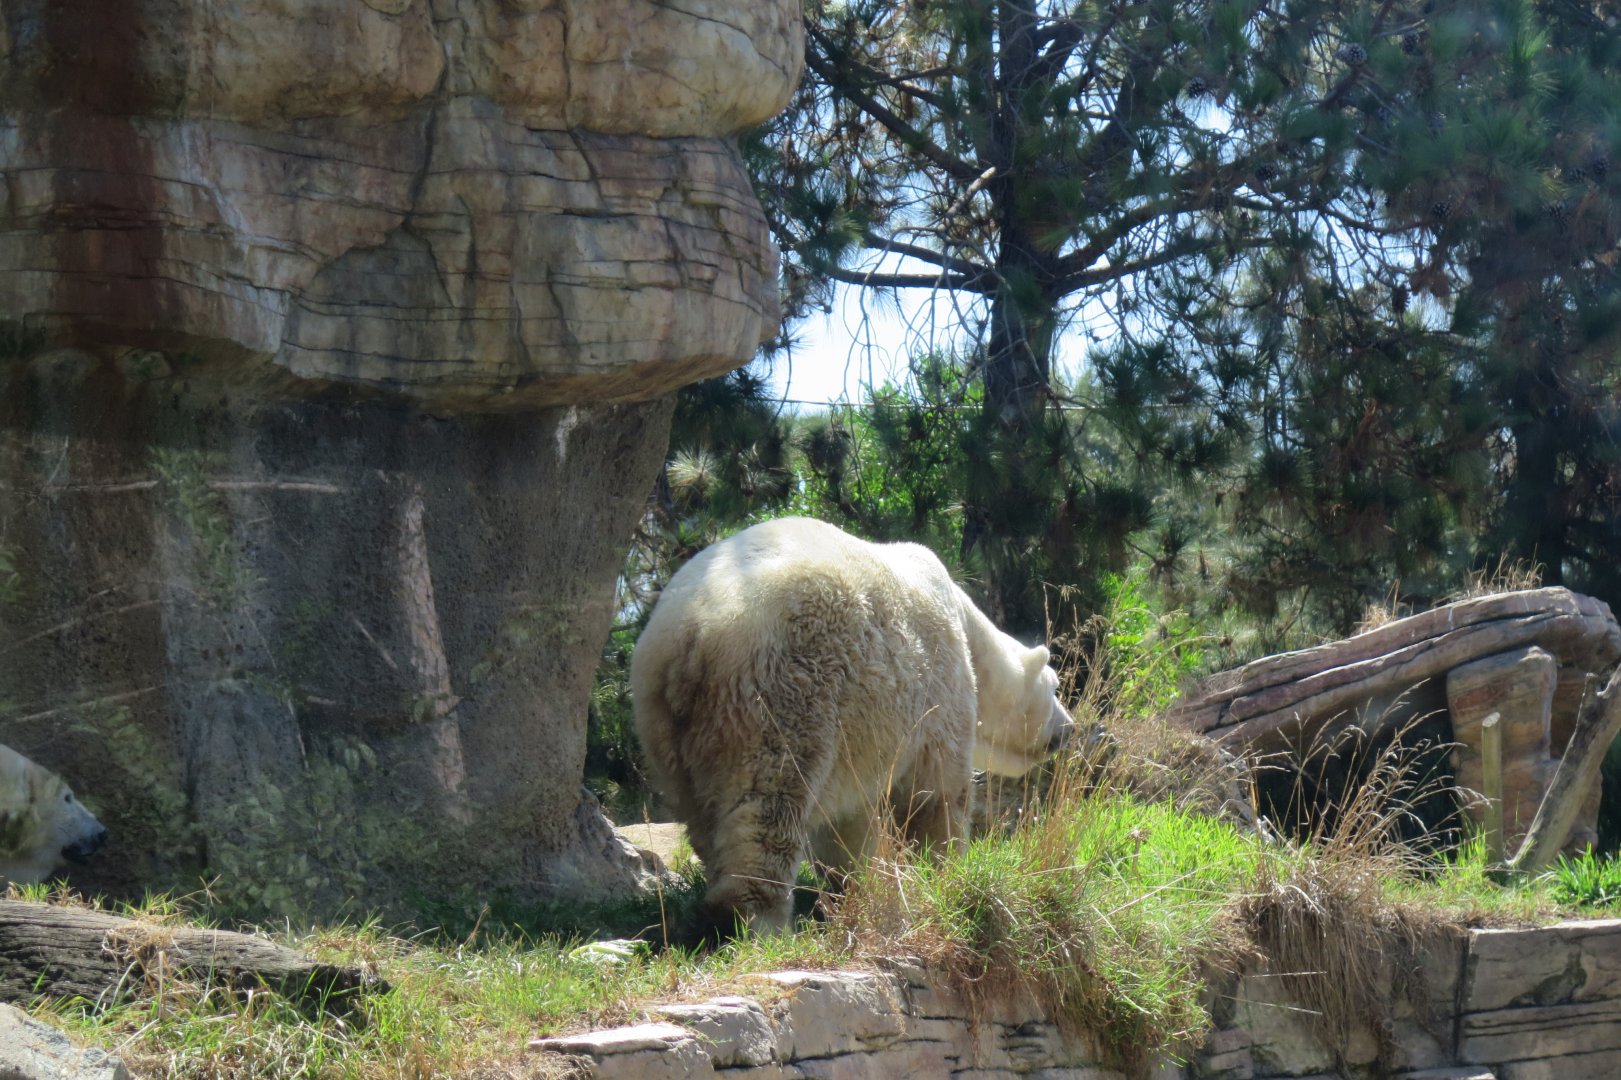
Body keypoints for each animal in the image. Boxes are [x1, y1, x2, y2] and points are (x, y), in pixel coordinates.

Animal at [631, 516, 1074, 938]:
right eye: (1054, 685)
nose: (1068, 728)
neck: (965, 620)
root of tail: (689, 635)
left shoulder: (861, 734)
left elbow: (846, 824)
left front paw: (856, 887)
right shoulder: (940, 690)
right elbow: (934, 795)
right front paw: (940, 873)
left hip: (668, 727)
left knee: (703, 816)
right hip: (781, 688)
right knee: (769, 803)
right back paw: (761, 921)